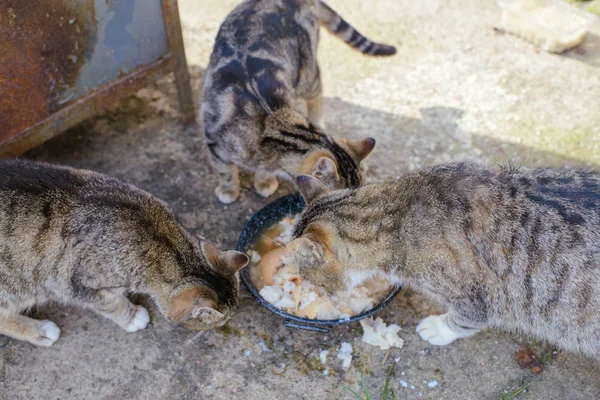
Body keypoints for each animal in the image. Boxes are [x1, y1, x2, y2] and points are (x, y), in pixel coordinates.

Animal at [0, 159, 248, 346]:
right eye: (219, 321)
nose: (223, 326)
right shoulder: (79, 285)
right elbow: (112, 304)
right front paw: (131, 316)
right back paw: (41, 330)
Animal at [202, 0, 396, 205]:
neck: (275, 124)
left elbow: (263, 170)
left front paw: (264, 182)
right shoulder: (214, 142)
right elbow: (226, 171)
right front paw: (229, 191)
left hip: (306, 72)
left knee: (317, 93)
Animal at [288, 162, 600, 360]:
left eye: (311, 279)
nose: (317, 292)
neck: (395, 215)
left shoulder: (476, 299)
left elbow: (462, 320)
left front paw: (439, 328)